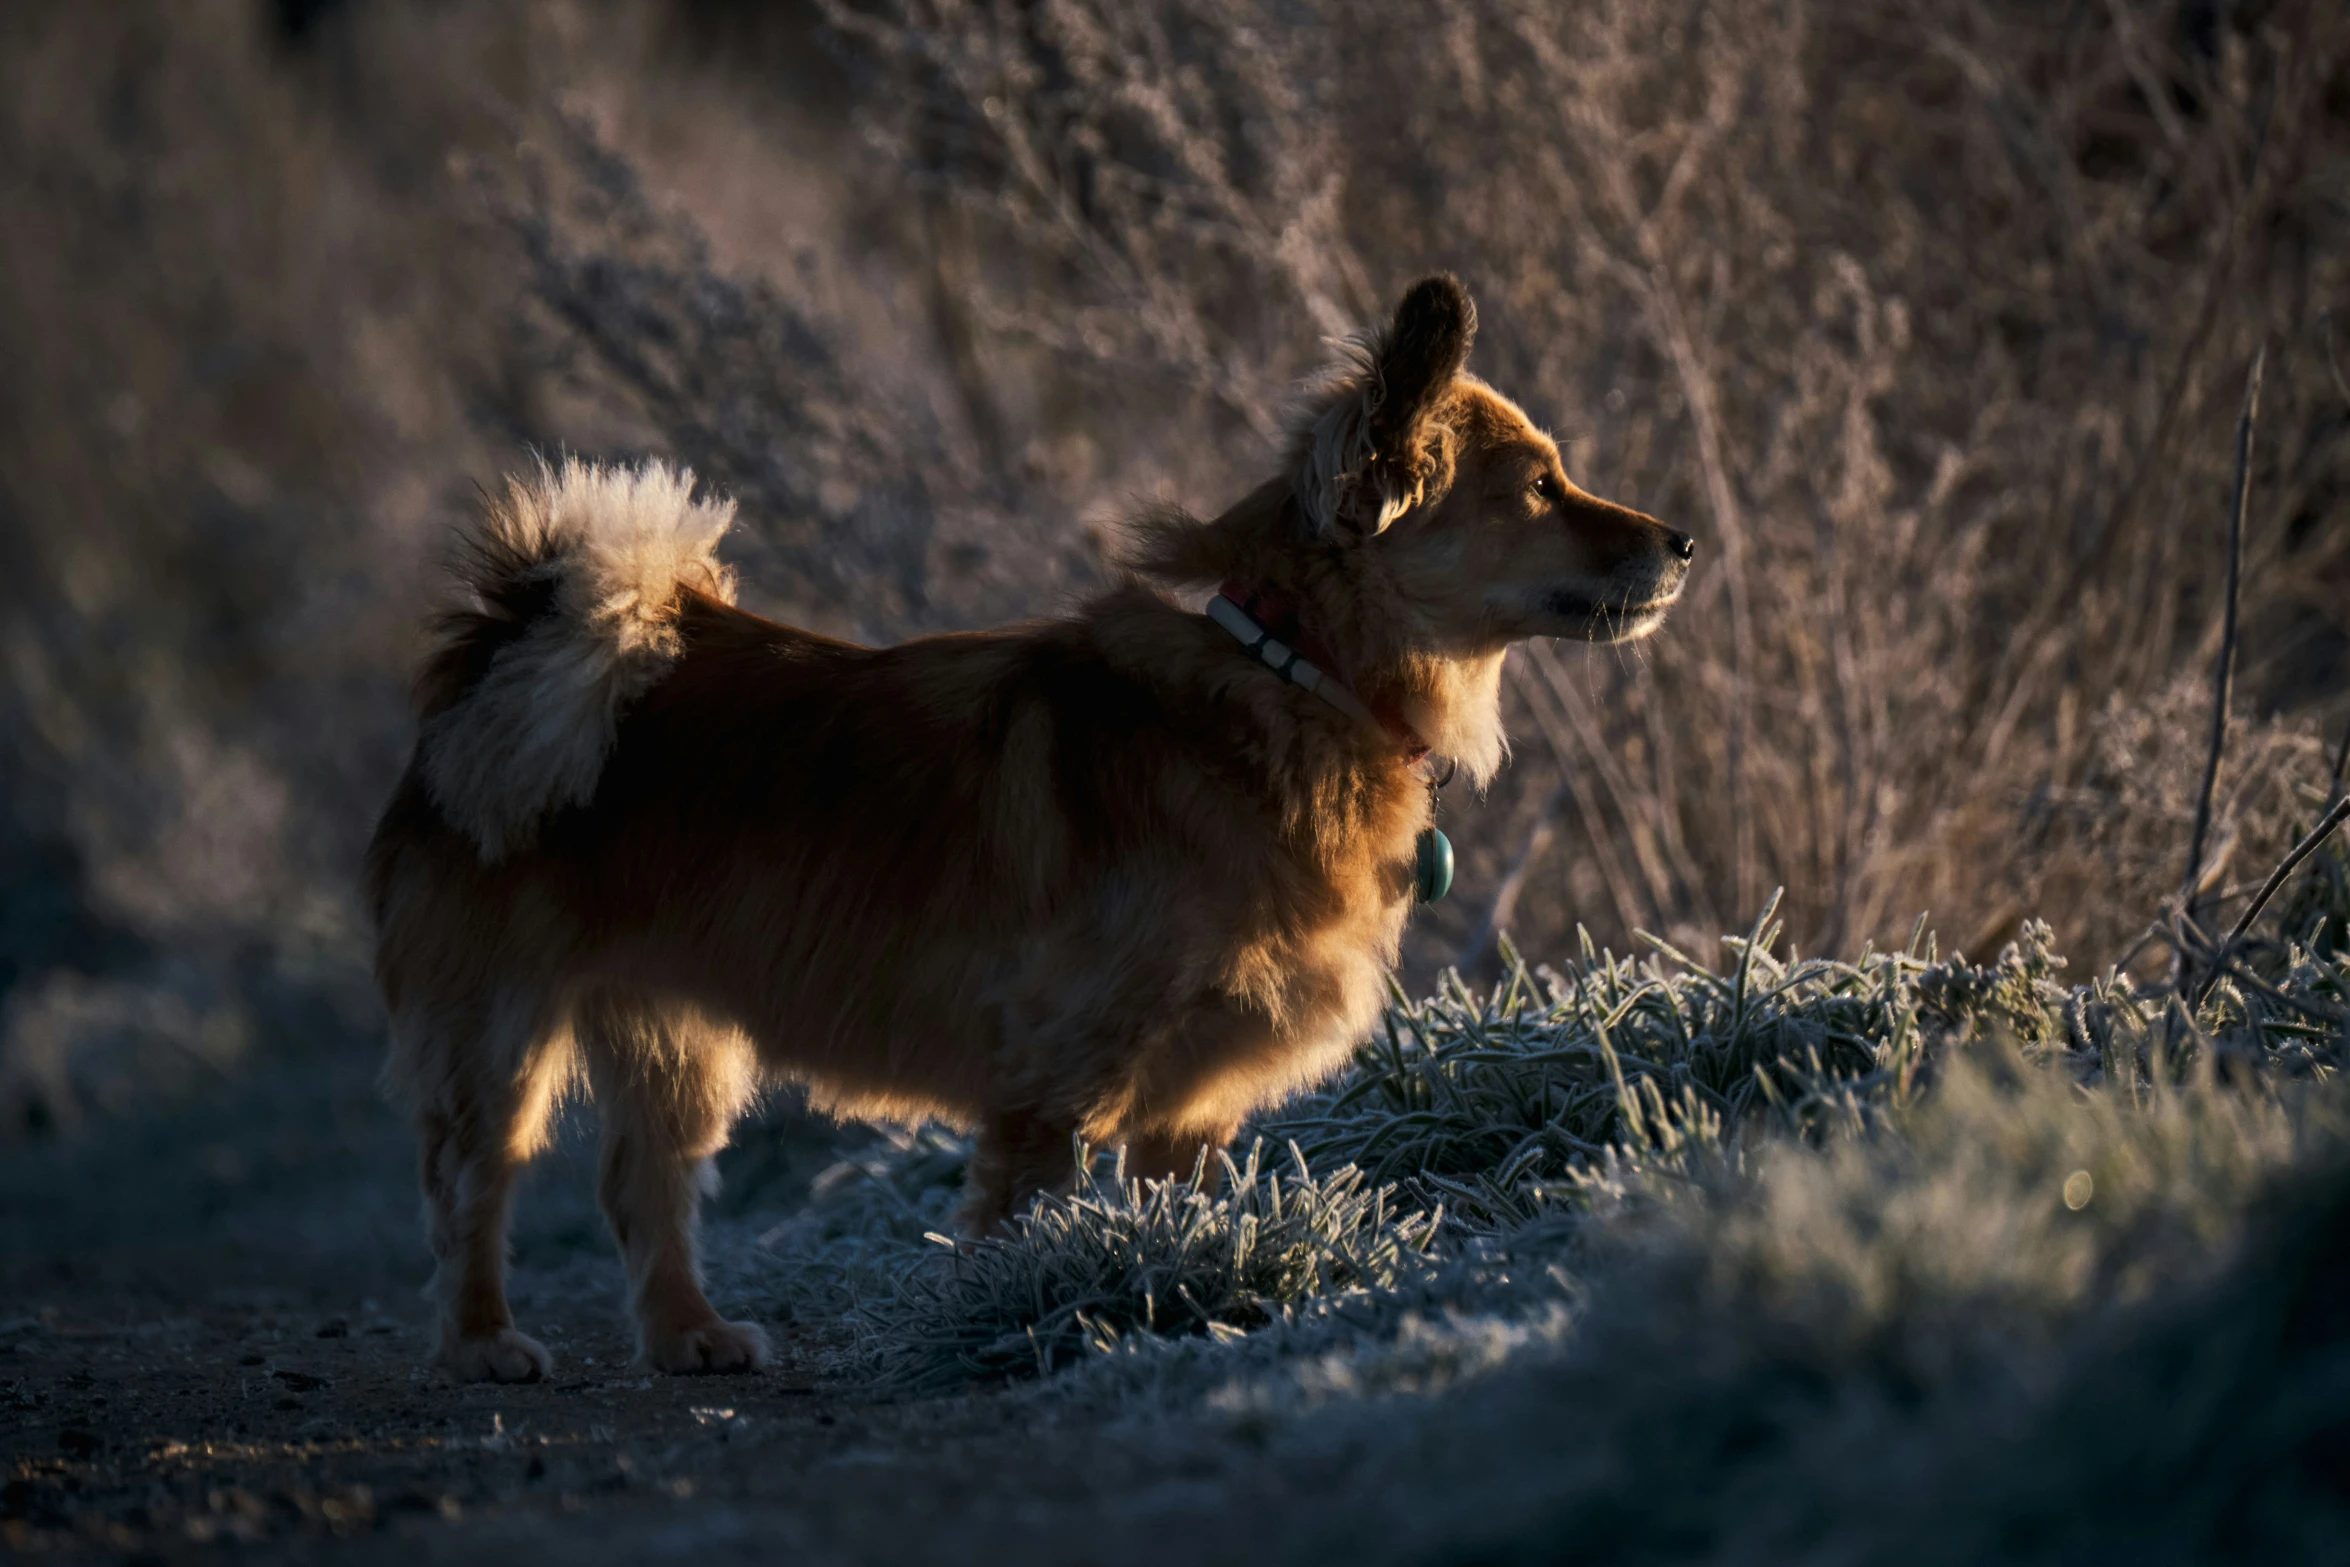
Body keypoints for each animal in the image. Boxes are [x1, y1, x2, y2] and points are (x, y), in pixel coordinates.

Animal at [366, 276, 1691, 1381]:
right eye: (1538, 487)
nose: (1685, 541)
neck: (1296, 676)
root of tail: (507, 643)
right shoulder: (1054, 1081)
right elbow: (1034, 1225)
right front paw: (1025, 1318)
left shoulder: (1185, 1109)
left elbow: (1173, 1218)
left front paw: (1174, 1294)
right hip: (497, 1029)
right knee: (467, 1180)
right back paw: (480, 1341)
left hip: (679, 1033)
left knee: (645, 1181)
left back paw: (689, 1333)